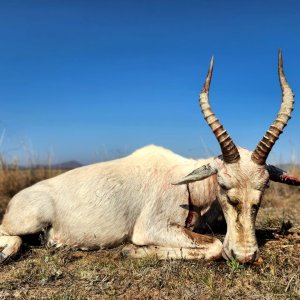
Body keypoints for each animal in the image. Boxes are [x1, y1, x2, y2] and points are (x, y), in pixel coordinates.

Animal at [0, 50, 300, 264]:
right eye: (224, 186)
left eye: (265, 187)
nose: (245, 255)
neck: (189, 185)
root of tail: (18, 198)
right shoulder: (151, 228)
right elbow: (214, 246)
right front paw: (129, 251)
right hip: (27, 222)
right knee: (12, 238)